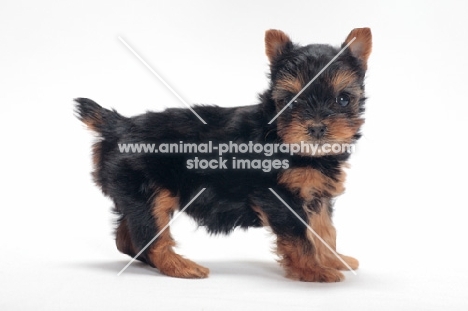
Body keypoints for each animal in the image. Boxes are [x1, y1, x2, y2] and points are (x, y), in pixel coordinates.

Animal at [75, 28, 372, 282]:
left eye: (343, 99)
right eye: (292, 101)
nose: (317, 128)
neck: (279, 133)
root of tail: (118, 125)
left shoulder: (316, 195)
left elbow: (323, 229)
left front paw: (332, 259)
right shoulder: (277, 195)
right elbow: (300, 236)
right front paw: (312, 270)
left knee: (127, 238)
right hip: (149, 192)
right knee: (149, 235)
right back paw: (179, 266)